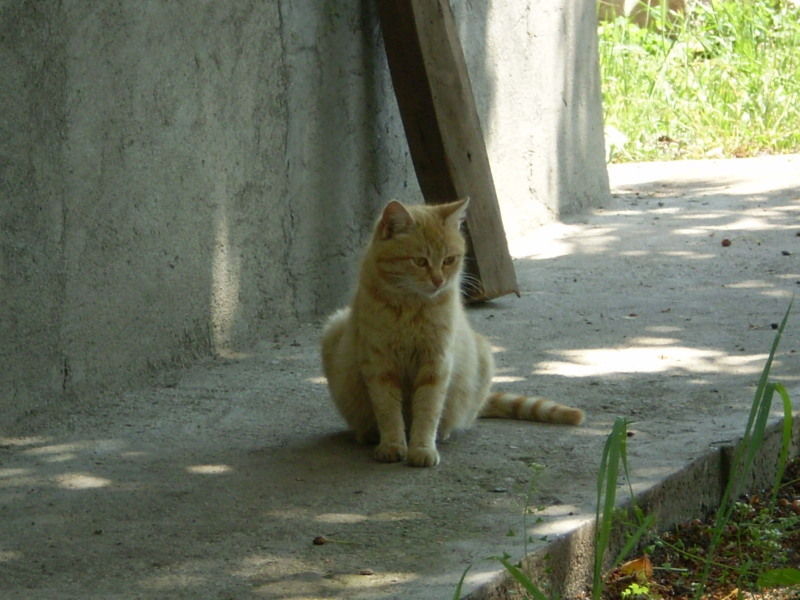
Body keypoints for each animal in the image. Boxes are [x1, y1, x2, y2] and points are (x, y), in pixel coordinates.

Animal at [320, 199, 584, 467]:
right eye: (420, 261)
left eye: (449, 260)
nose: (439, 281)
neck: (410, 307)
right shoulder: (379, 365)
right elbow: (388, 411)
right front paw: (392, 445)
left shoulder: (435, 364)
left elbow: (428, 410)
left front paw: (422, 448)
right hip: (334, 329)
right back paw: (369, 434)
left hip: (482, 354)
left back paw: (443, 432)